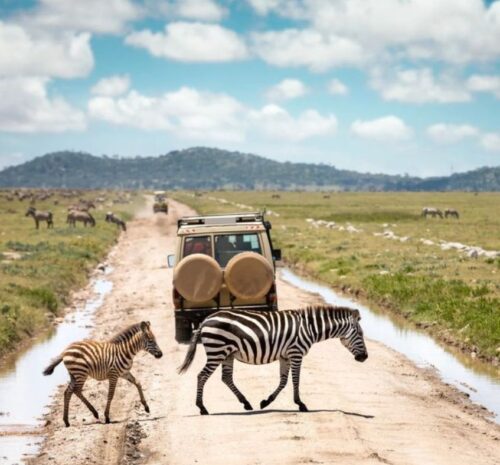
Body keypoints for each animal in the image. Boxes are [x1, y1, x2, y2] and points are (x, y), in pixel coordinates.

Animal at [179, 304, 368, 414]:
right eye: (360, 334)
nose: (365, 357)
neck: (309, 328)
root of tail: (205, 320)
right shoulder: (296, 353)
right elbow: (296, 380)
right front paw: (301, 404)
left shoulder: (285, 356)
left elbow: (283, 381)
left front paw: (266, 402)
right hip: (217, 351)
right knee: (202, 376)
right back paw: (202, 408)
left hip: (227, 354)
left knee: (226, 377)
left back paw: (246, 403)